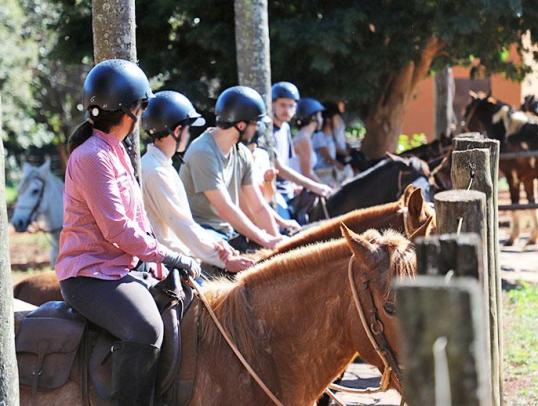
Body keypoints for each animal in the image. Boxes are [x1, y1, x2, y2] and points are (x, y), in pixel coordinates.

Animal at [460, 92, 536, 244]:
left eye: (466, 111)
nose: (460, 128)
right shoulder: (527, 178)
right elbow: (531, 202)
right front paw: (532, 238)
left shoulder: (513, 177)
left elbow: (515, 203)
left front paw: (513, 238)